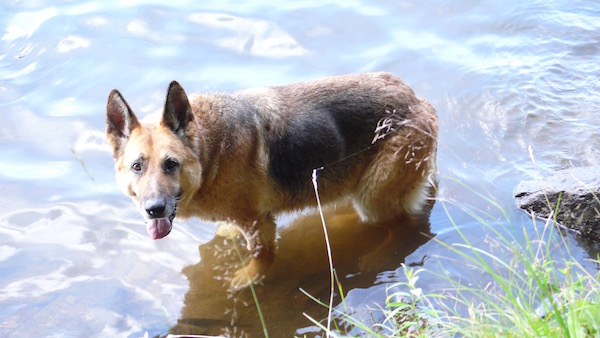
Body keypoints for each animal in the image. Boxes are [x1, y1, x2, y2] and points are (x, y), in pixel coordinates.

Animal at [105, 71, 438, 288]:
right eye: (137, 167)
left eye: (170, 164)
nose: (154, 210)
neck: (211, 150)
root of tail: (418, 101)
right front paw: (229, 232)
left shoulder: (258, 221)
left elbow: (262, 255)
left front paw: (250, 278)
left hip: (374, 197)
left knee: (406, 225)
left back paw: (377, 257)